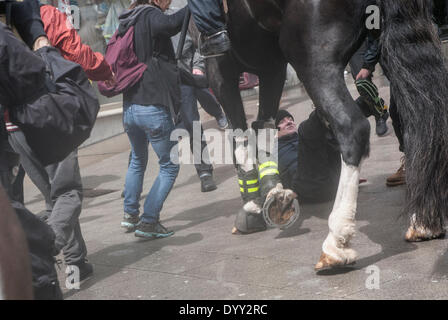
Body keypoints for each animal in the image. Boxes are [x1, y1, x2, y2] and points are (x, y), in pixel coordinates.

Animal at [192, 0, 448, 272]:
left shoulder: (221, 68)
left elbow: (240, 136)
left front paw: (252, 205)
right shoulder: (271, 68)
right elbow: (264, 125)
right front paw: (272, 192)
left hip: (311, 54)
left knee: (352, 128)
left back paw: (336, 242)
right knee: (424, 119)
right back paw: (424, 222)